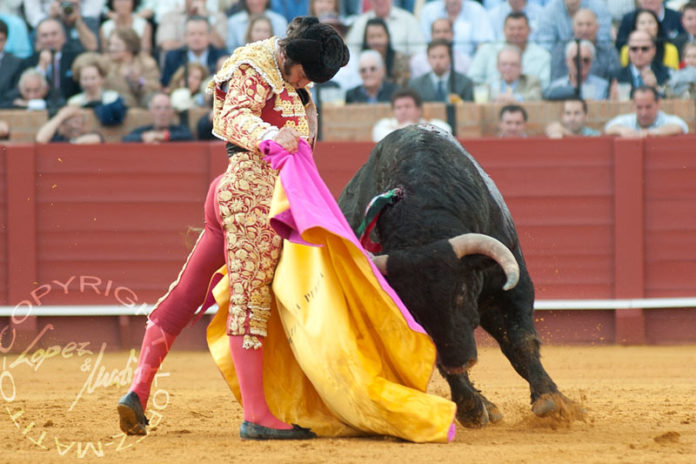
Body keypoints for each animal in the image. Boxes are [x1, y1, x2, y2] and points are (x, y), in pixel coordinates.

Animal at [338, 124, 580, 428]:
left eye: (461, 294)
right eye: (411, 310)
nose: (460, 361)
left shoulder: (510, 289)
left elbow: (519, 340)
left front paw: (553, 401)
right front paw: (471, 408)